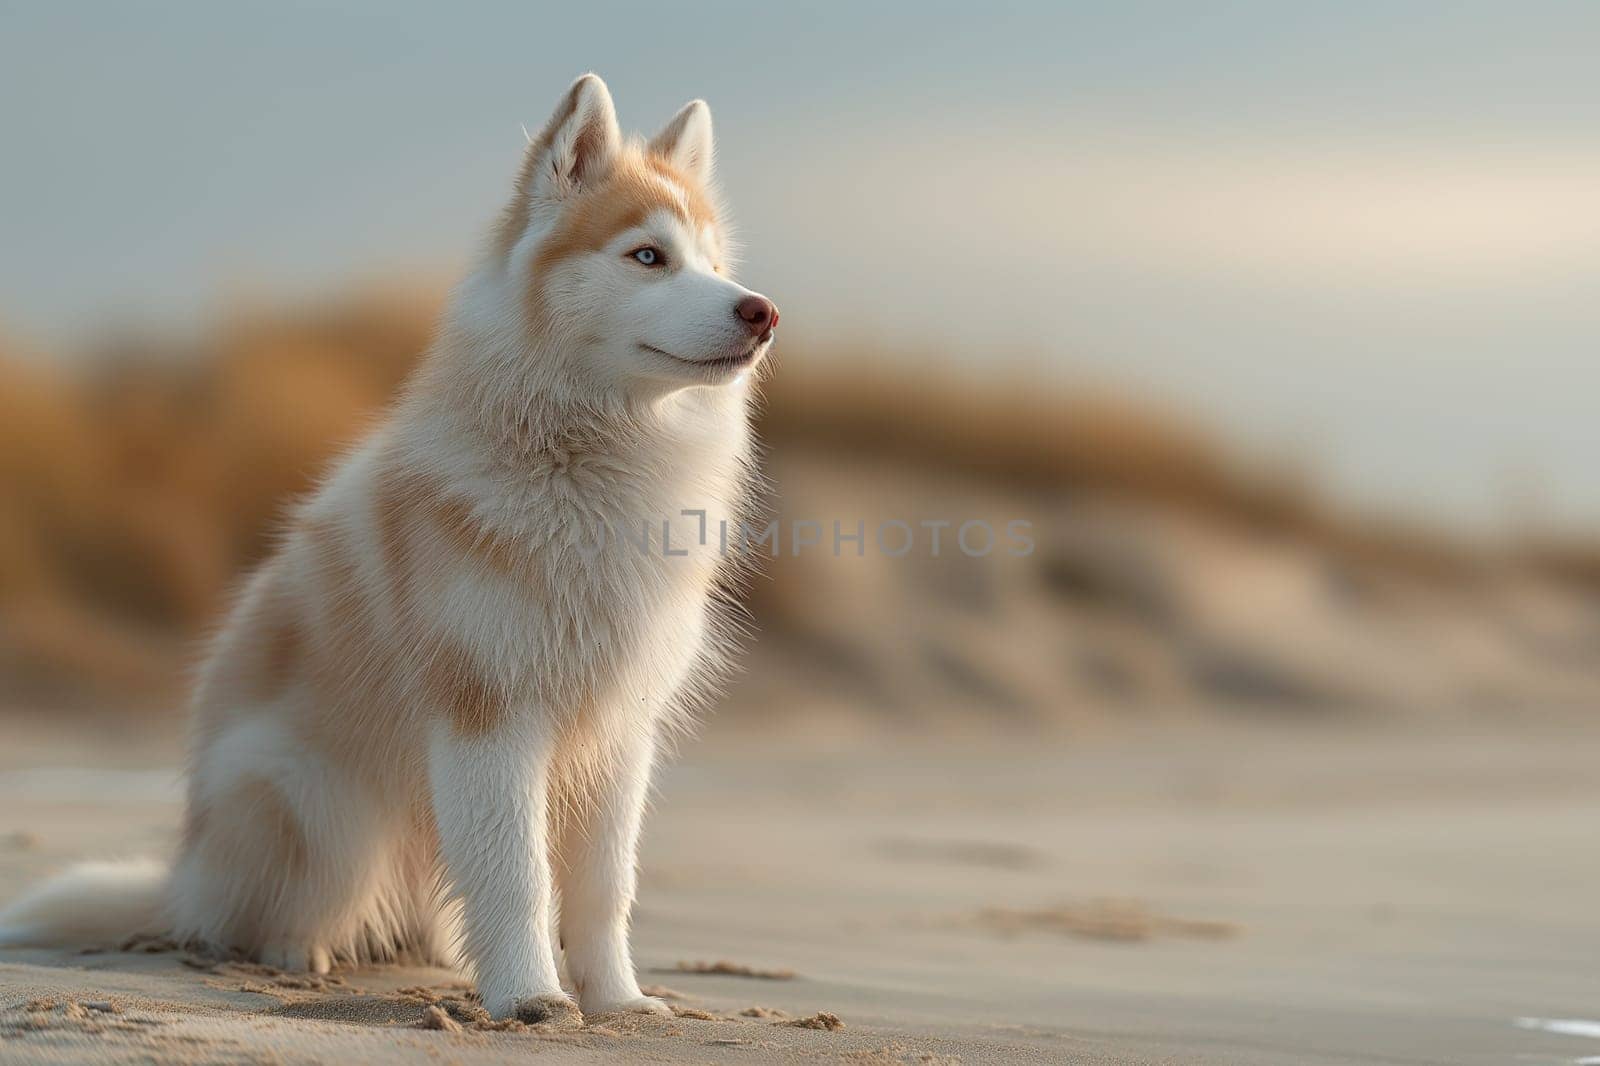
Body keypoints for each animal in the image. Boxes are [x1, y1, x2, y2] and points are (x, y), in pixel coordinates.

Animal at [0, 74, 774, 1024]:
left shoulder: (619, 732)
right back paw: (291, 955)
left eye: (712, 261)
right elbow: (517, 879)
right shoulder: (489, 718)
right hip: (316, 803)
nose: (762, 311)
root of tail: (183, 870)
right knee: (246, 919)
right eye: (647, 257)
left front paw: (618, 1002)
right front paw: (530, 998)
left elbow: (602, 889)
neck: (589, 466)